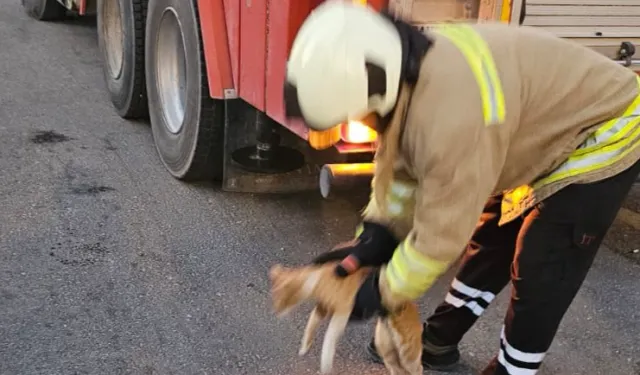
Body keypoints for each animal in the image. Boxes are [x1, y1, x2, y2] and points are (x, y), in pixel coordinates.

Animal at [268, 262, 424, 375]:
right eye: (274, 299)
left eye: (279, 299)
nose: (275, 312)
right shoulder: (321, 309)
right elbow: (310, 326)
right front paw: (304, 347)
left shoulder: (342, 313)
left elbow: (328, 342)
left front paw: (325, 367)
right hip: (384, 344)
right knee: (396, 368)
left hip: (407, 352)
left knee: (417, 368)